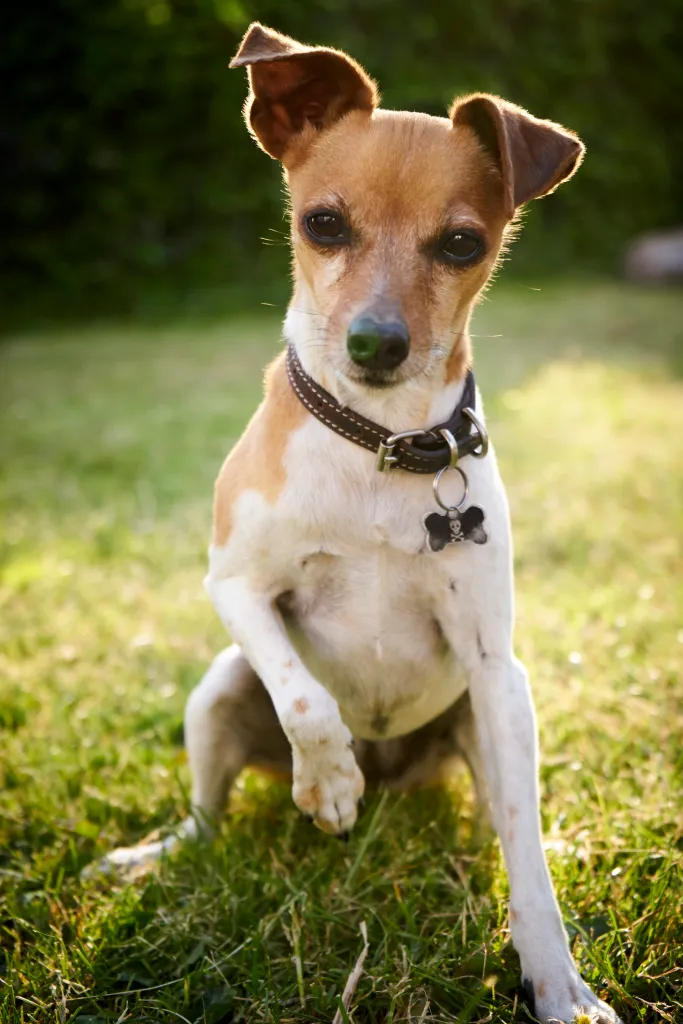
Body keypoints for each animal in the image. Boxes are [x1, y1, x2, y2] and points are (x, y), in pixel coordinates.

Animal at [97, 24, 626, 1024]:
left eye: (460, 242)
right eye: (323, 224)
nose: (376, 343)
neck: (380, 448)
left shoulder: (495, 667)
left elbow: (527, 870)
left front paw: (557, 983)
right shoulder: (234, 585)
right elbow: (305, 695)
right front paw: (328, 782)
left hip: (488, 716)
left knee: (503, 823)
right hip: (215, 695)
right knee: (206, 815)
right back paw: (167, 850)